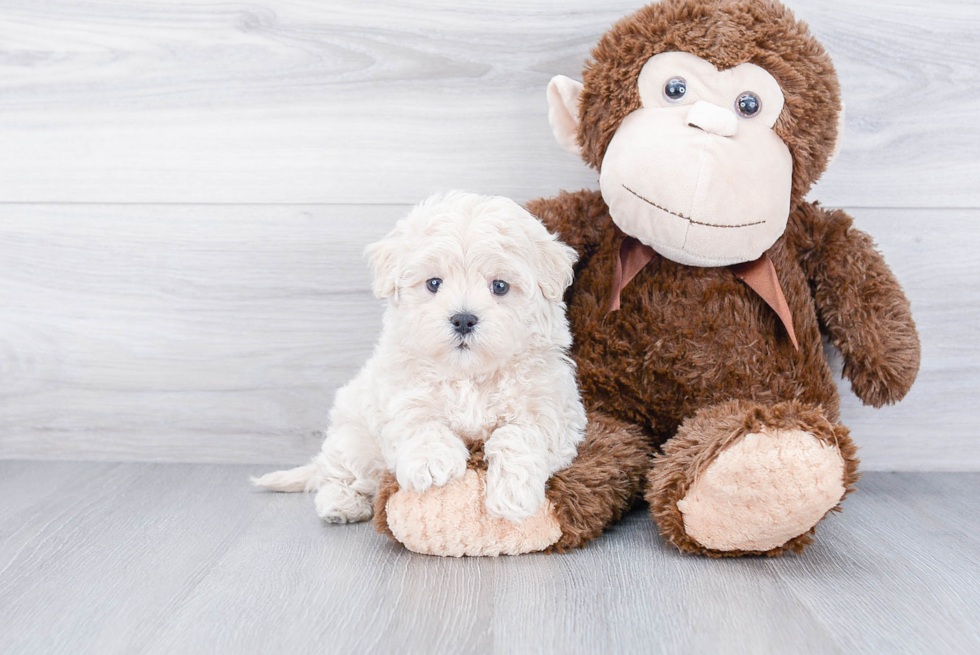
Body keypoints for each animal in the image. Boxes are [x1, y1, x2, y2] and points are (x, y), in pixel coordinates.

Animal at [256, 190, 584, 524]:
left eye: (500, 286)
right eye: (434, 283)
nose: (463, 319)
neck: (470, 376)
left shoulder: (551, 409)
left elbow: (520, 435)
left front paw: (513, 492)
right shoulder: (401, 393)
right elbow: (419, 421)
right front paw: (431, 462)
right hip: (352, 437)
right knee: (340, 474)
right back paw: (341, 503)